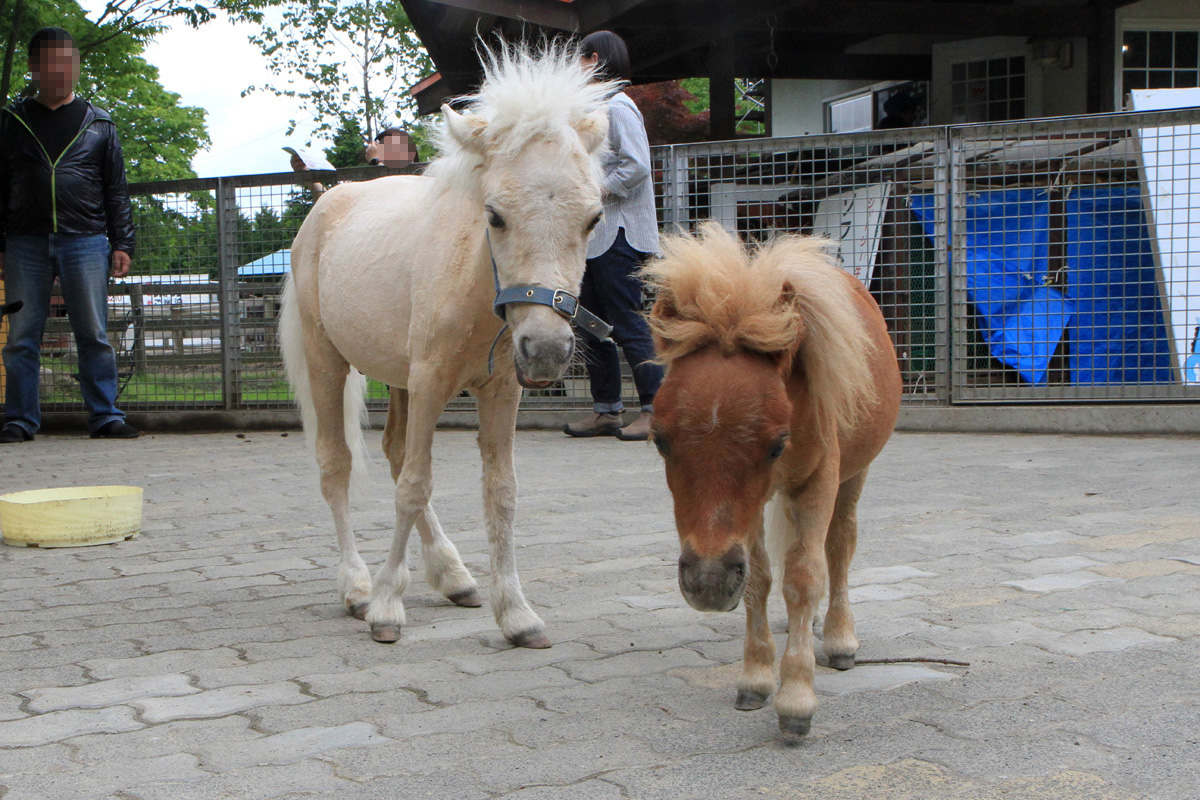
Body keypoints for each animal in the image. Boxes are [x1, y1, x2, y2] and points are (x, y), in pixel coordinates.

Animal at [282, 40, 619, 647]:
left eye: (593, 218)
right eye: (496, 216)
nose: (547, 349)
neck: (475, 289)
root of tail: (326, 204)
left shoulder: (500, 389)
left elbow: (500, 491)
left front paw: (516, 613)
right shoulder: (431, 381)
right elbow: (414, 485)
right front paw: (387, 608)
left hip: (396, 377)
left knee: (393, 451)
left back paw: (452, 574)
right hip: (329, 361)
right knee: (337, 463)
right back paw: (358, 587)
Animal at [648, 221, 902, 743]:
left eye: (776, 444)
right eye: (660, 439)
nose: (707, 583)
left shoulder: (818, 479)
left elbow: (805, 576)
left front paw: (796, 700)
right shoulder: (750, 508)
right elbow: (760, 578)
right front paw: (757, 678)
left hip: (853, 474)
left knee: (839, 547)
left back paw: (840, 637)